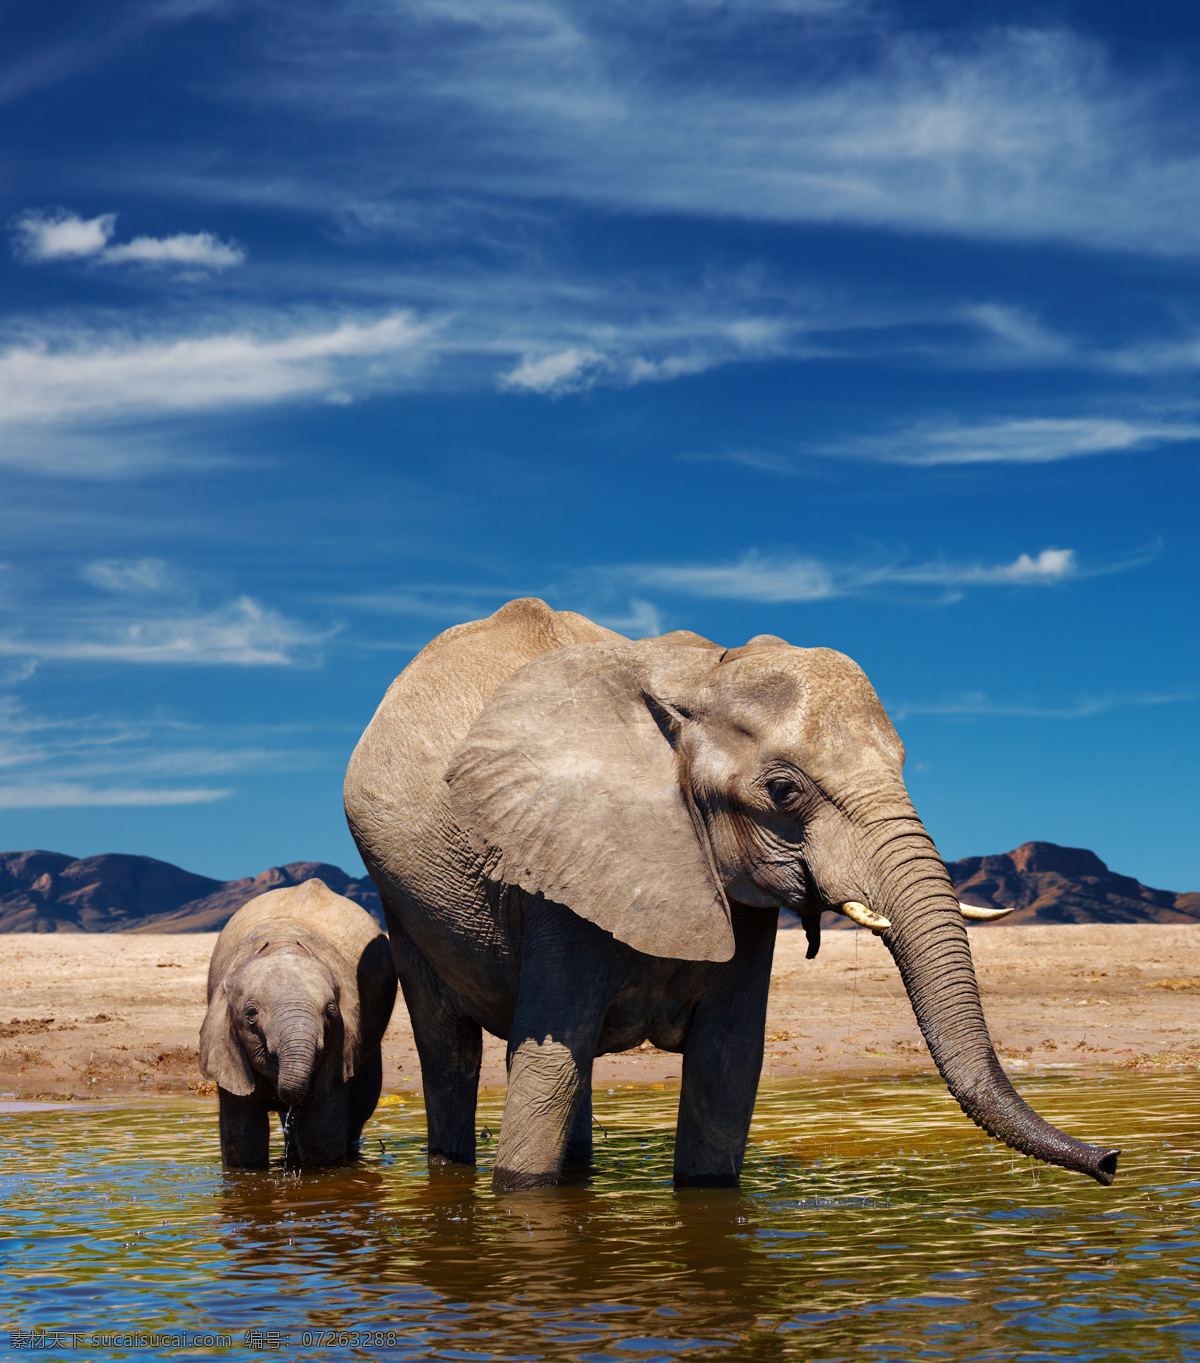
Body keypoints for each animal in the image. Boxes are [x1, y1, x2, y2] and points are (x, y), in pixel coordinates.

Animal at [199, 878, 397, 1167]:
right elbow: (243, 1137)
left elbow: (320, 1130)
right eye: (251, 1014)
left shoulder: (341, 1043)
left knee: (362, 1104)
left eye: (329, 1014)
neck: (282, 945)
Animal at [344, 597, 1118, 1192]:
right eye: (783, 790)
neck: (697, 680)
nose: (1110, 1158)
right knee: (452, 1052)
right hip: (402, 900)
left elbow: (726, 1064)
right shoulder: (560, 864)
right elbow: (545, 1065)